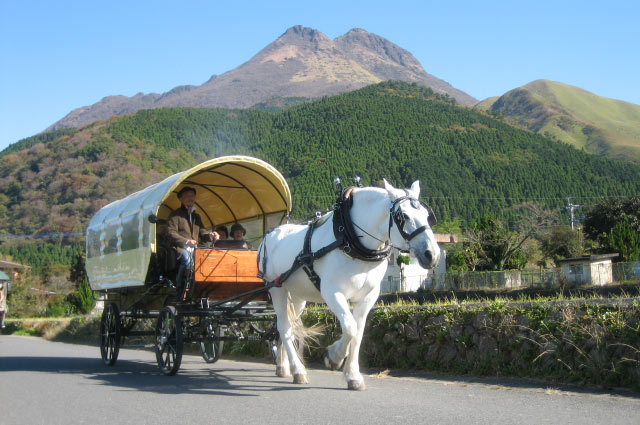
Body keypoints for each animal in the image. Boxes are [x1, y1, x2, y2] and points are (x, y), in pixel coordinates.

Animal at [258, 177, 438, 390]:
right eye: (404, 216)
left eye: (427, 215)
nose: (432, 254)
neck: (349, 238)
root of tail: (269, 234)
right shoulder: (332, 292)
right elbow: (350, 327)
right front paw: (334, 357)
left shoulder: (368, 296)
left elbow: (358, 334)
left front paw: (353, 376)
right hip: (276, 288)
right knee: (284, 327)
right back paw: (298, 370)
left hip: (296, 295)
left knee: (289, 325)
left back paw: (283, 366)